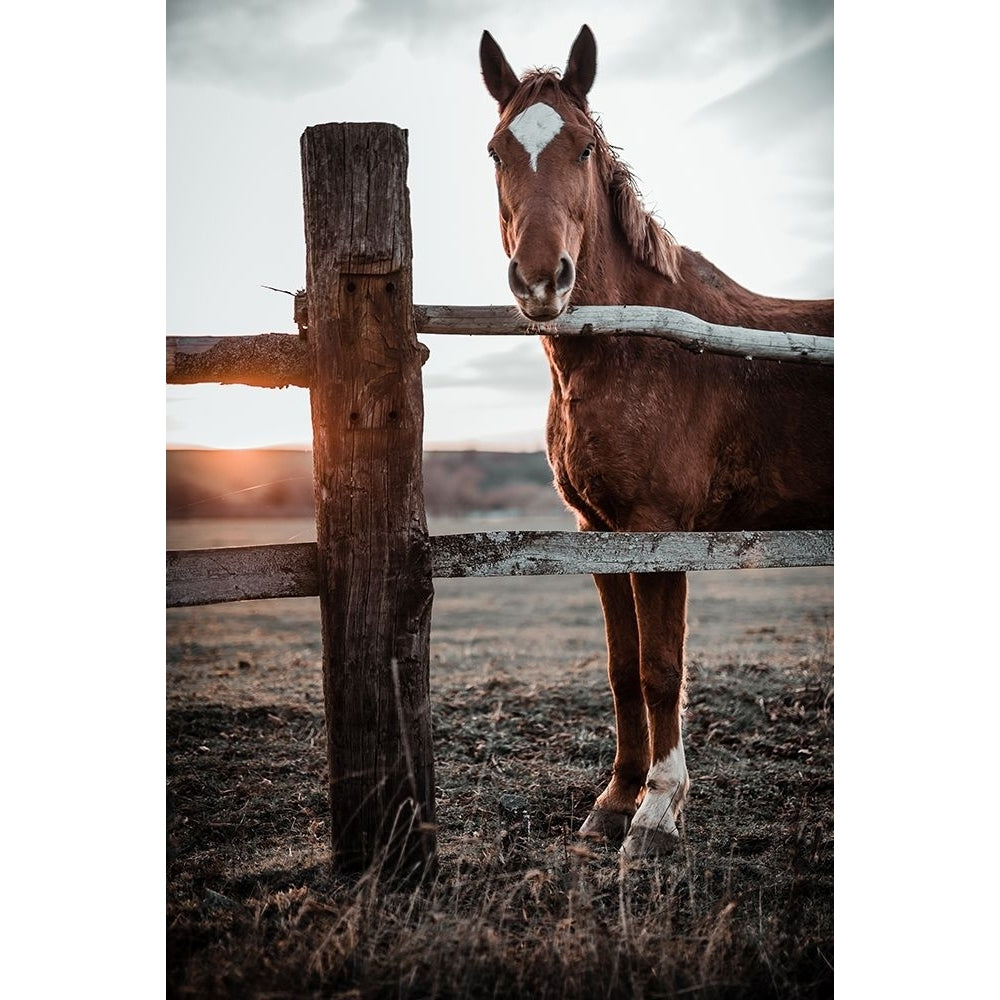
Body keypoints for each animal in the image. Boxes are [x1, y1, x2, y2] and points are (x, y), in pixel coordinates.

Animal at [480, 25, 832, 860]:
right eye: (497, 151)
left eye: (581, 147)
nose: (540, 280)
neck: (635, 342)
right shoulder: (597, 532)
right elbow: (621, 668)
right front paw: (614, 801)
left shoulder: (658, 530)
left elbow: (662, 667)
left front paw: (657, 814)